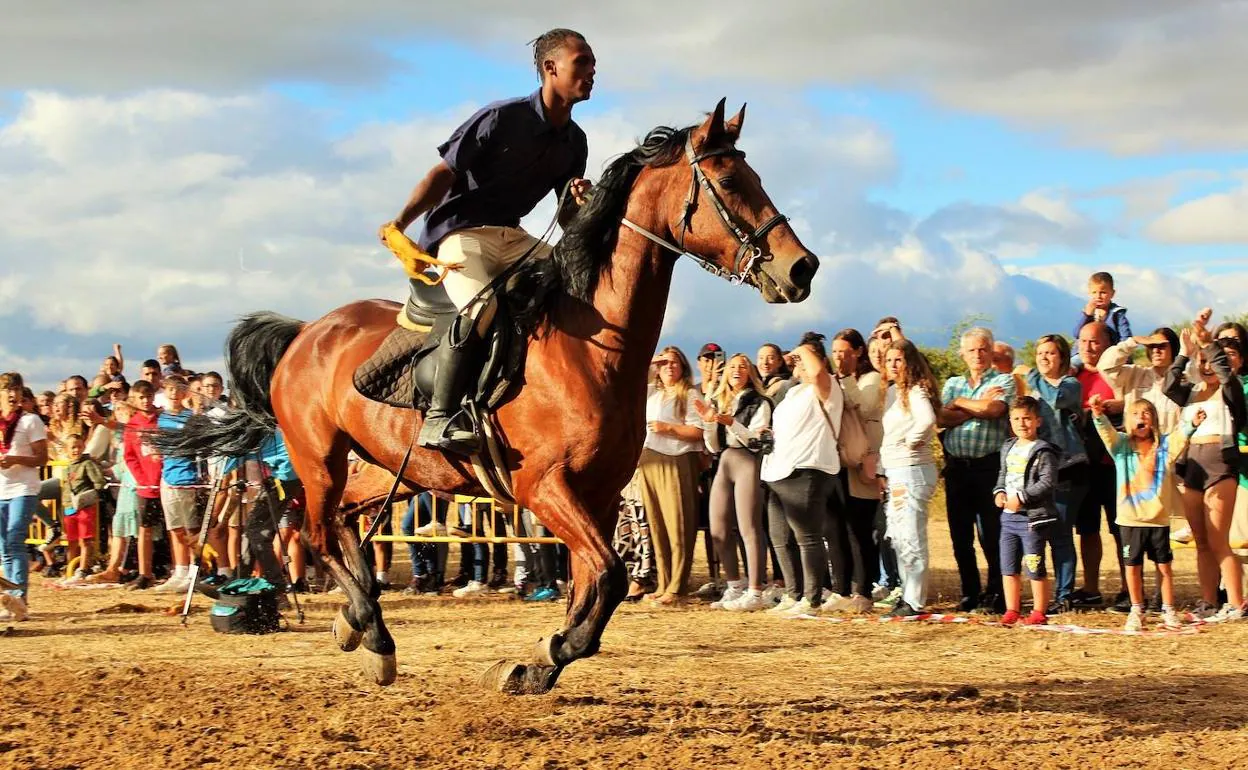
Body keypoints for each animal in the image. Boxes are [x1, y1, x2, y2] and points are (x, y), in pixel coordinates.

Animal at [170, 99, 823, 693]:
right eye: (731, 181)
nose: (802, 269)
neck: (591, 343)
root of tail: (307, 331)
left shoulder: (599, 494)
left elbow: (594, 587)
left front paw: (540, 662)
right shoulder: (545, 486)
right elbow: (608, 577)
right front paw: (545, 655)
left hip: (399, 468)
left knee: (346, 520)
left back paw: (358, 620)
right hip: (319, 456)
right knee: (316, 530)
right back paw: (373, 634)